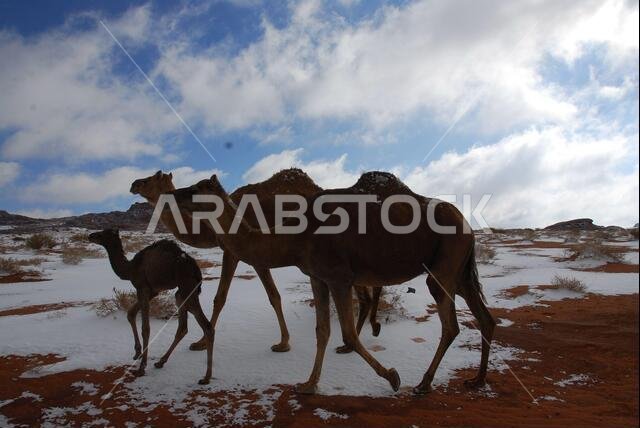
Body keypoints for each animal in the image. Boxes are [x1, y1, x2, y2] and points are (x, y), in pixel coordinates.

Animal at [88, 229, 213, 384]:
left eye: (102, 234)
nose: (90, 236)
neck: (131, 268)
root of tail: (196, 269)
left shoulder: (142, 288)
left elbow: (145, 328)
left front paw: (142, 367)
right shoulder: (153, 291)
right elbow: (130, 313)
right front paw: (137, 352)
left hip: (187, 288)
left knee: (206, 326)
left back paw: (206, 377)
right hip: (182, 294)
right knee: (183, 327)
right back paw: (160, 362)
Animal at [130, 169, 382, 354]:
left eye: (151, 178)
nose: (133, 183)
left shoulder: (241, 253)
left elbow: (230, 297)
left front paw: (202, 342)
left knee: (365, 293)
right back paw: (360, 337)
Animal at [172, 172, 495, 394]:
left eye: (196, 189)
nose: (174, 194)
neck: (295, 236)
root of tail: (467, 223)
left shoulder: (339, 277)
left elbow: (349, 334)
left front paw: (392, 377)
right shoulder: (318, 277)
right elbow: (323, 330)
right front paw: (308, 384)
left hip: (444, 265)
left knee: (451, 325)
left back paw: (423, 384)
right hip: (460, 271)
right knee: (485, 318)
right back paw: (477, 380)